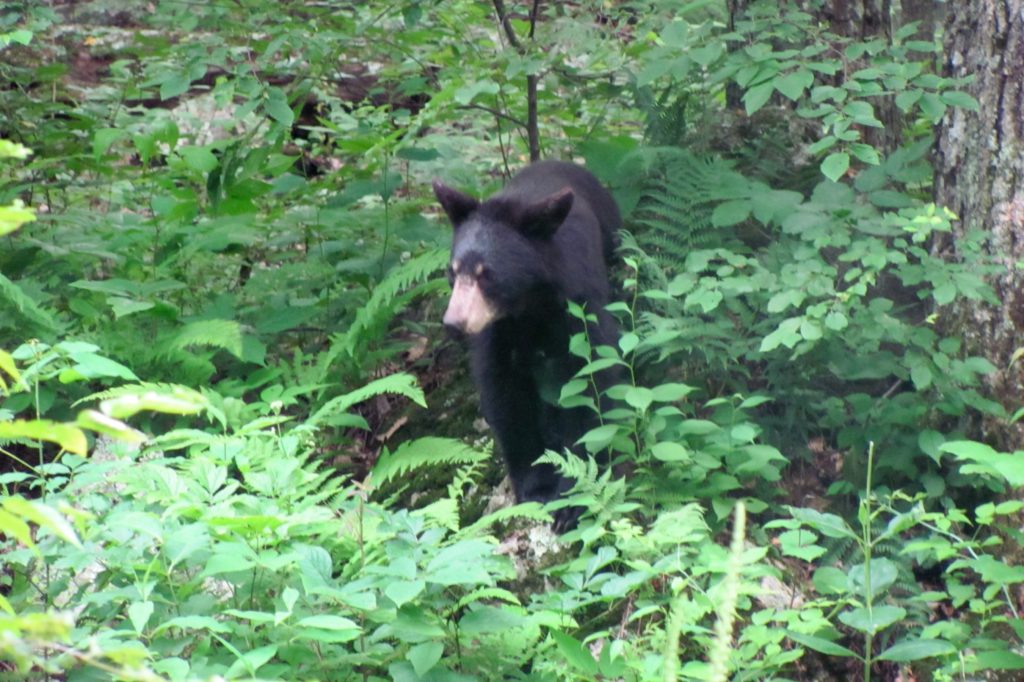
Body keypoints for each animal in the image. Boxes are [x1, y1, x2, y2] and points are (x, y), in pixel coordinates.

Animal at [430, 160, 618, 532]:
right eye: (453, 271)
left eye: (486, 274)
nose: (454, 324)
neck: (527, 308)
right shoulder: (495, 336)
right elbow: (506, 400)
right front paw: (537, 489)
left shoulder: (578, 310)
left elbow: (590, 386)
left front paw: (571, 500)